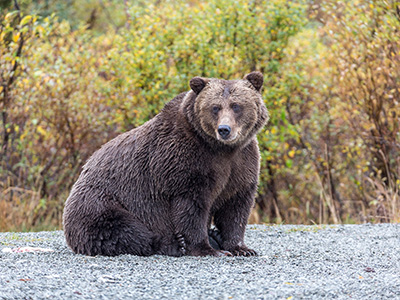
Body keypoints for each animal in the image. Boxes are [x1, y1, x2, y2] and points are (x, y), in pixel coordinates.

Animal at [62, 71, 268, 256]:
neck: (221, 149)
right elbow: (191, 207)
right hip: (100, 202)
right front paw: (207, 249)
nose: (224, 129)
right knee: (121, 229)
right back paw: (175, 244)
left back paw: (214, 236)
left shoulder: (242, 163)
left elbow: (236, 207)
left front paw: (241, 248)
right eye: (215, 107)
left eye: (236, 106)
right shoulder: (184, 162)